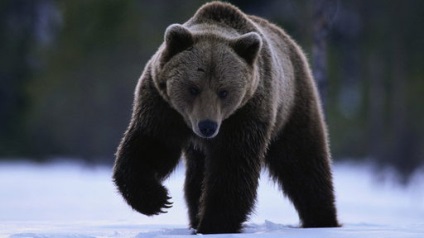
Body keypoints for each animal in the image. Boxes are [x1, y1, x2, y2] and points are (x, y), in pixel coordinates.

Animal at [112, 0, 338, 233]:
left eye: (224, 91)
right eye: (193, 88)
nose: (207, 126)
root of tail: (290, 42)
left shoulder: (246, 113)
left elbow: (233, 167)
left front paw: (215, 223)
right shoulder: (162, 106)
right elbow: (150, 145)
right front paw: (157, 199)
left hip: (292, 105)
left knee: (303, 162)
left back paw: (322, 218)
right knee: (196, 177)